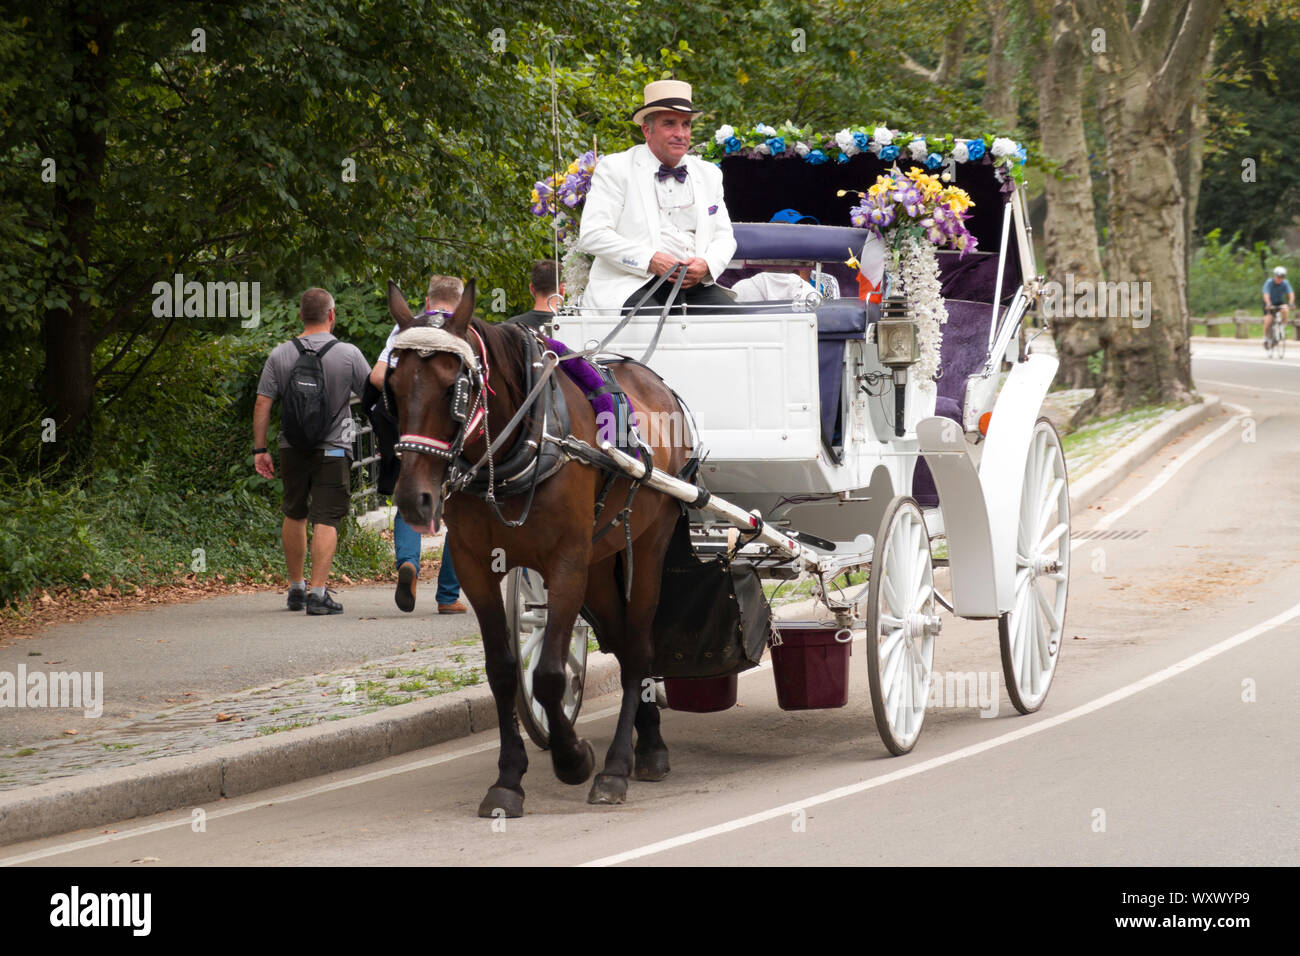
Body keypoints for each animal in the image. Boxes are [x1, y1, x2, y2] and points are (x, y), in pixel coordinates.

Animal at [382, 274, 696, 816]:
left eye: (454, 389)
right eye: (395, 389)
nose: (413, 501)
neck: (519, 447)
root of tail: (656, 382)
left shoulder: (566, 562)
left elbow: (549, 674)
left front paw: (574, 759)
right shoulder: (474, 565)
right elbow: (504, 671)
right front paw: (509, 779)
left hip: (647, 545)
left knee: (638, 648)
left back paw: (619, 765)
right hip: (602, 561)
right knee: (623, 642)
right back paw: (648, 742)